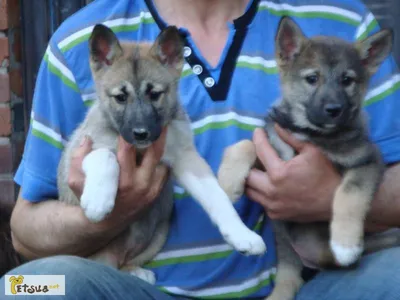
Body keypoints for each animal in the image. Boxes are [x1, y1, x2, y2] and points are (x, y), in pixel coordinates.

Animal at [56, 24, 266, 284]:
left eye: (155, 94)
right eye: (120, 97)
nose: (141, 134)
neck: (139, 149)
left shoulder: (185, 158)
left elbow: (218, 197)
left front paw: (242, 235)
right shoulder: (83, 149)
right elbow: (106, 156)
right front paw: (98, 201)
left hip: (159, 233)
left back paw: (135, 271)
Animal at [217, 17, 392, 300]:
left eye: (347, 80)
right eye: (312, 78)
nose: (334, 110)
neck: (310, 133)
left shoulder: (366, 161)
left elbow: (349, 194)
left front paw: (345, 244)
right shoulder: (272, 154)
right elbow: (246, 144)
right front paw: (227, 184)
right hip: (283, 239)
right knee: (290, 275)